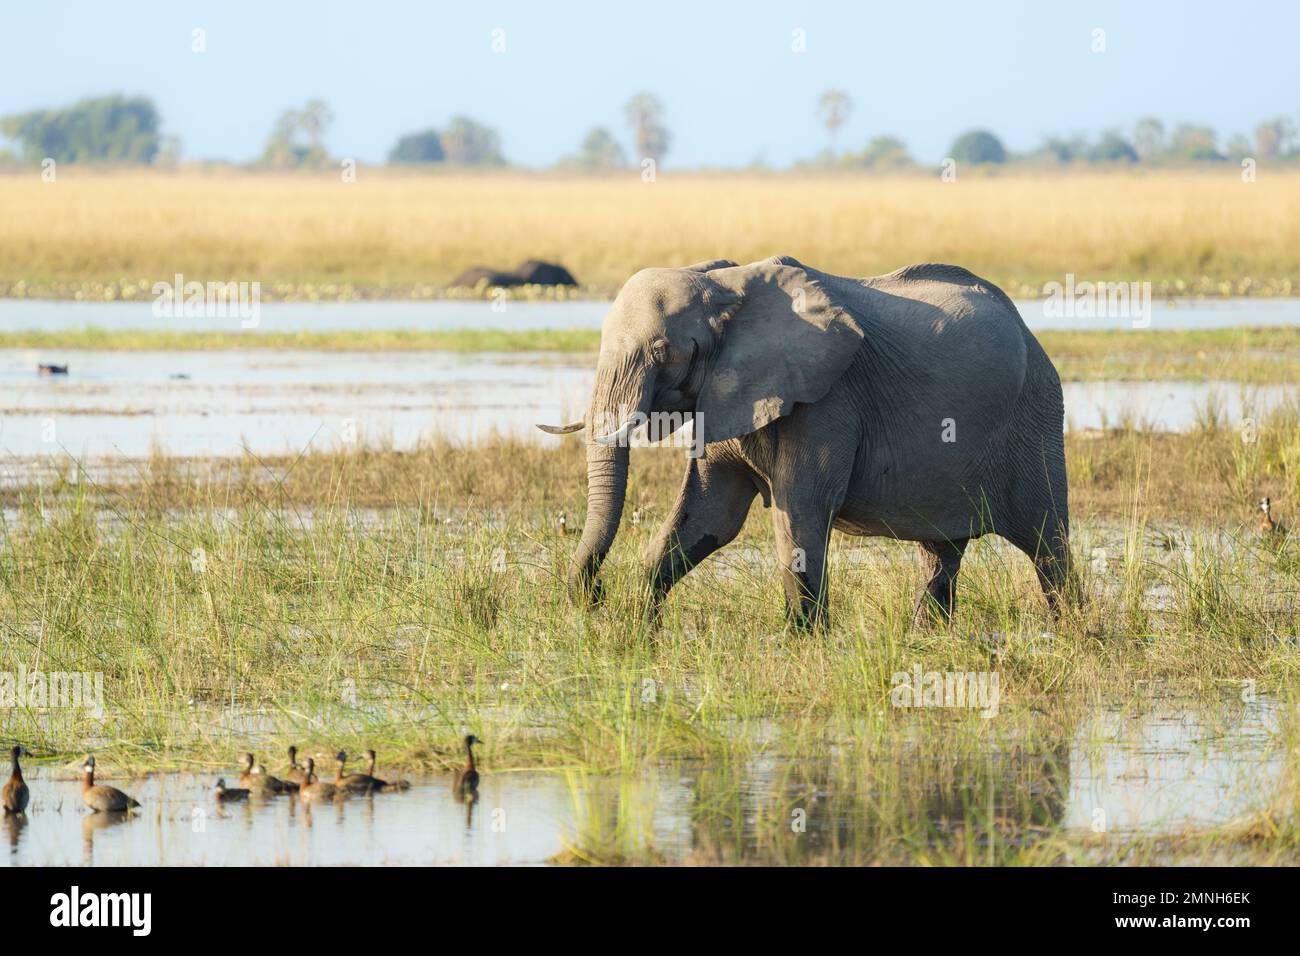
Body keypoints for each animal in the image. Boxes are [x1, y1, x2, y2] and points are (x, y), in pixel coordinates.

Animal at [533, 254, 1071, 629]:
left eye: (663, 351)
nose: (594, 596)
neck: (725, 285)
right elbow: (709, 517)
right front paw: (638, 629)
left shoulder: (827, 398)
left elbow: (800, 512)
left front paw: (804, 643)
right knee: (941, 553)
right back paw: (928, 637)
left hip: (1035, 416)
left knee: (1048, 542)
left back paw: (1074, 631)